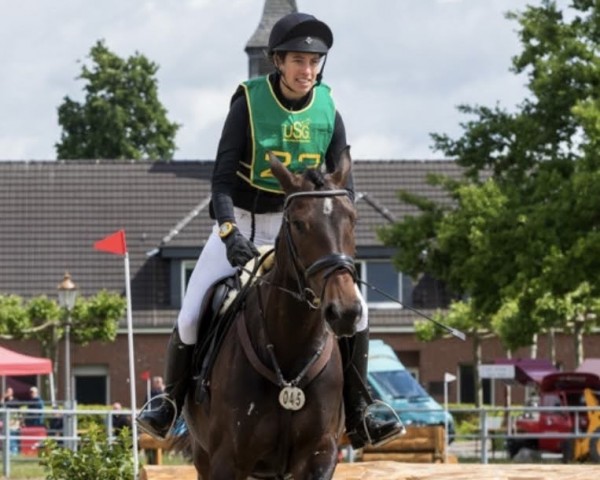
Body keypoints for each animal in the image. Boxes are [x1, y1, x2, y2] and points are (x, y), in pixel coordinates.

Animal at [183, 148, 360, 478]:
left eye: (353, 219)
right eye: (298, 223)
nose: (345, 311)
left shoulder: (320, 455)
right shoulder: (228, 460)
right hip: (203, 456)